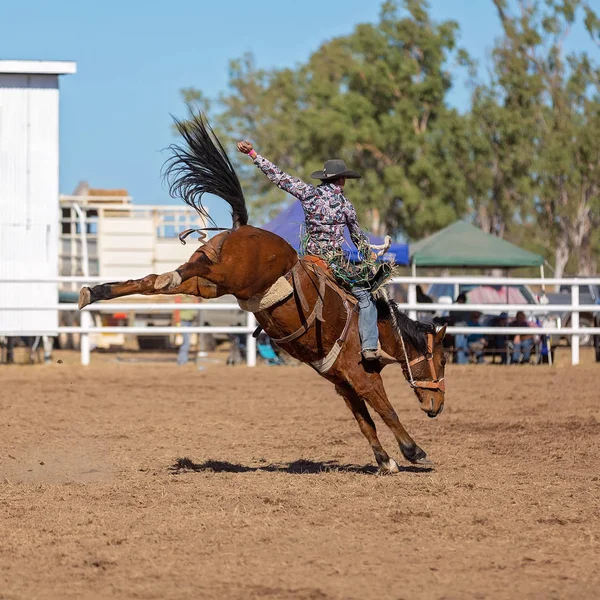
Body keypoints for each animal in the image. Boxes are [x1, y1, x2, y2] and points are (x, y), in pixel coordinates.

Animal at [78, 113, 446, 474]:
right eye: (442, 359)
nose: (437, 406)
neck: (377, 329)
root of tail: (241, 228)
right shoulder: (361, 376)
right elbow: (386, 410)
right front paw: (414, 451)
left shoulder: (342, 382)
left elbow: (365, 422)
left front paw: (386, 460)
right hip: (230, 276)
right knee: (185, 271)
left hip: (212, 285)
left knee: (156, 280)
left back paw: (94, 291)